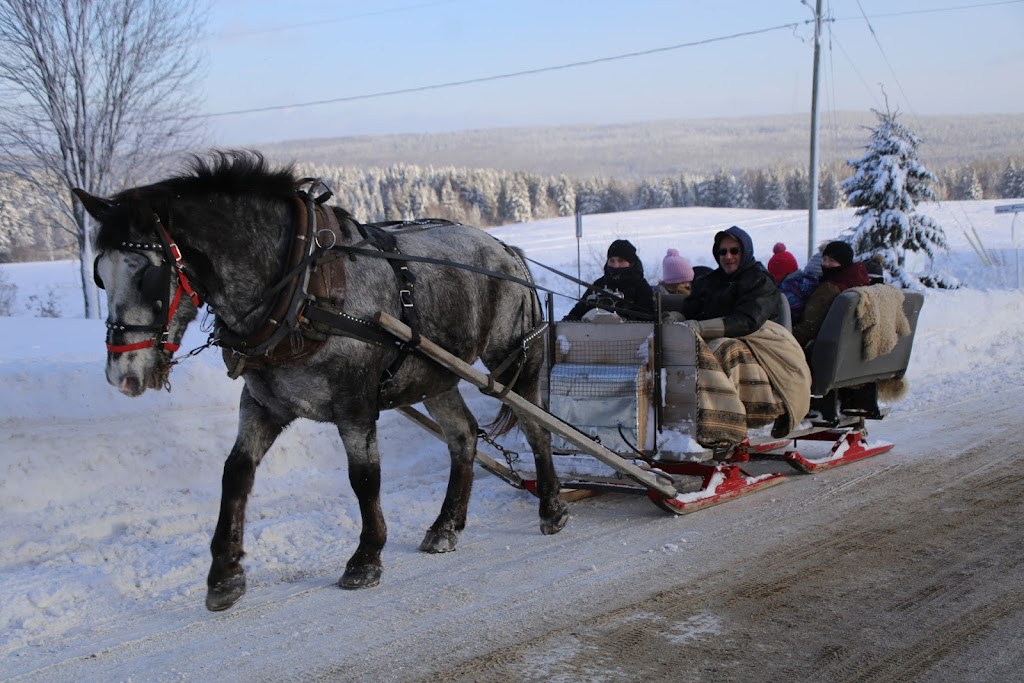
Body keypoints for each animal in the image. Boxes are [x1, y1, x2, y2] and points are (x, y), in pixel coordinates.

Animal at [72, 152, 569, 610]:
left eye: (147, 274)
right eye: (100, 276)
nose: (123, 376)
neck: (302, 288)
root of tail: (506, 249)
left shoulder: (354, 402)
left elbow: (364, 478)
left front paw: (366, 558)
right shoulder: (263, 404)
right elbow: (235, 474)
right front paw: (224, 574)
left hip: (512, 357)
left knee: (536, 427)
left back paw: (551, 506)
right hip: (435, 373)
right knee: (463, 435)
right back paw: (445, 526)